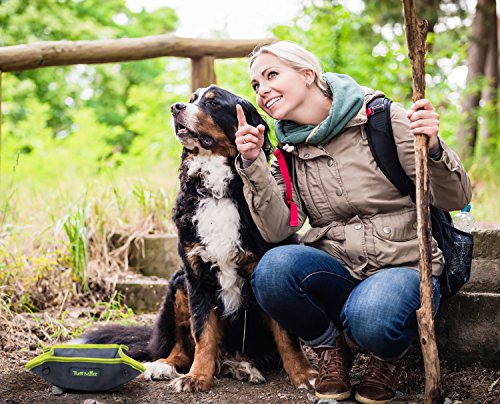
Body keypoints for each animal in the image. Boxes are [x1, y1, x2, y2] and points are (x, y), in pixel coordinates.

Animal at [81, 85, 316, 392]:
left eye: (213, 103)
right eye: (192, 99)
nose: (175, 107)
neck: (217, 191)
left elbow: (287, 336)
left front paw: (304, 374)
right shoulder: (197, 274)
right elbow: (203, 333)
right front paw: (197, 376)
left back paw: (243, 366)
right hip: (178, 284)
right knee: (181, 347)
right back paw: (165, 365)